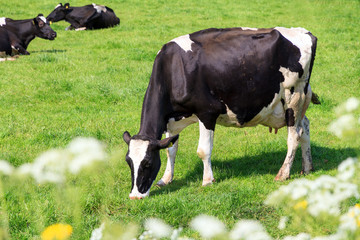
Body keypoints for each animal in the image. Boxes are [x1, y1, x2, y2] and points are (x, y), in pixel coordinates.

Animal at [122, 26, 320, 199]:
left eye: (147, 163)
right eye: (128, 162)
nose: (135, 196)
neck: (174, 69)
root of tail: (304, 32)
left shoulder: (207, 112)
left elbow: (203, 150)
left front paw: (207, 180)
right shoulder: (172, 120)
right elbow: (170, 150)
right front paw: (166, 179)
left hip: (294, 97)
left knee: (294, 135)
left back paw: (283, 174)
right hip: (297, 102)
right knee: (305, 127)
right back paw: (307, 167)